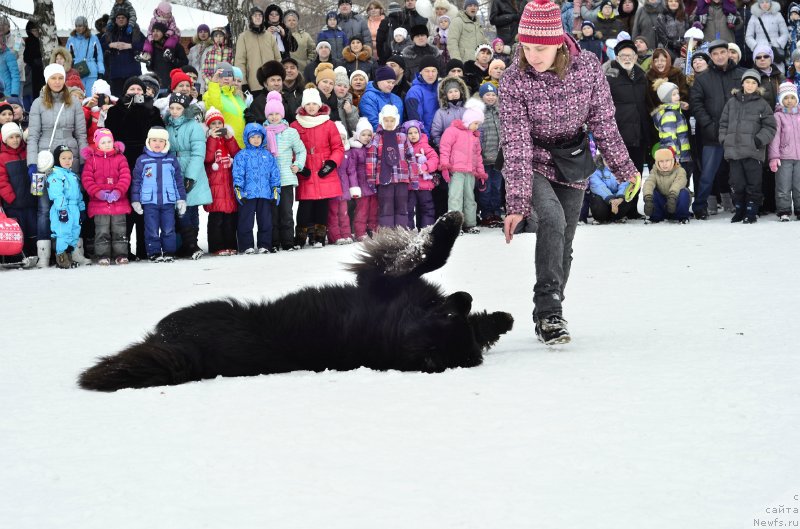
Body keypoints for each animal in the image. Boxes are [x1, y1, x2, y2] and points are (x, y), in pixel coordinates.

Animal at [76, 211, 512, 392]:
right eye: (453, 313)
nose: (465, 297)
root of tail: (195, 358)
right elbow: (428, 257)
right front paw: (501, 318)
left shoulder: (381, 282)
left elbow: (424, 255)